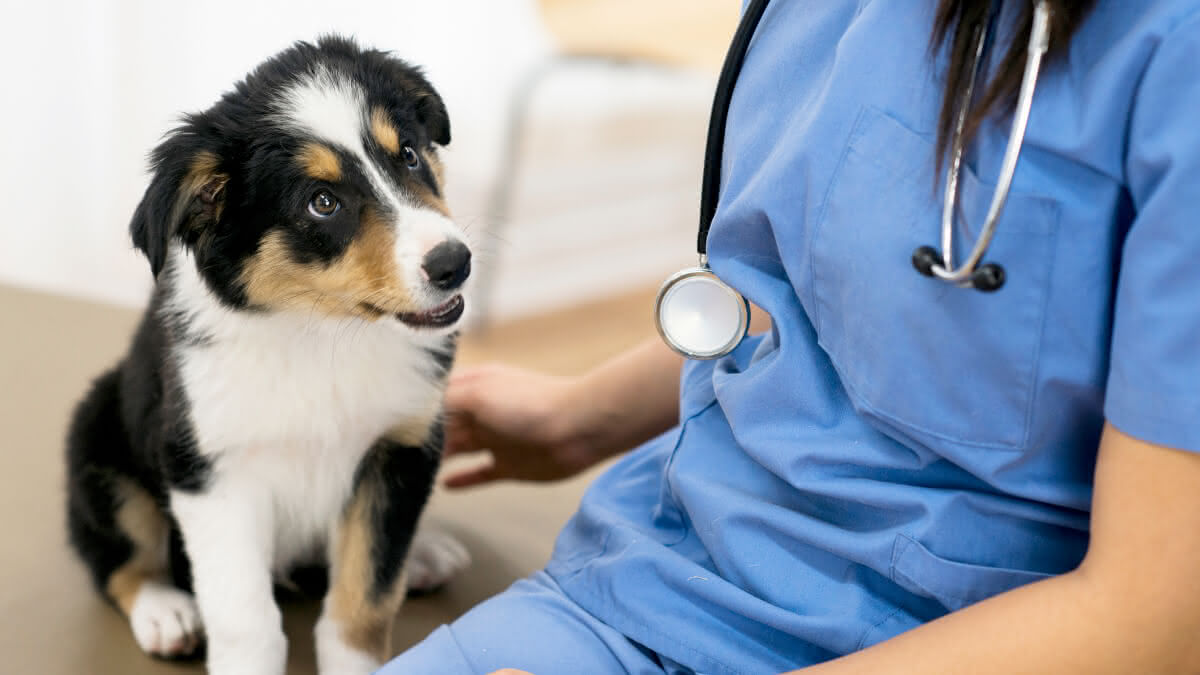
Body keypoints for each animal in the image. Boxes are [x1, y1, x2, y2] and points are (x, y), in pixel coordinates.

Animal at [66, 38, 472, 672]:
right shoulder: (211, 470)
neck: (320, 333)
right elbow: (245, 619)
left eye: (407, 154)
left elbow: (365, 598)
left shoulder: (399, 450)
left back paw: (425, 552)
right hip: (97, 430)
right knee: (118, 557)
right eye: (322, 202)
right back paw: (166, 611)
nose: (455, 263)